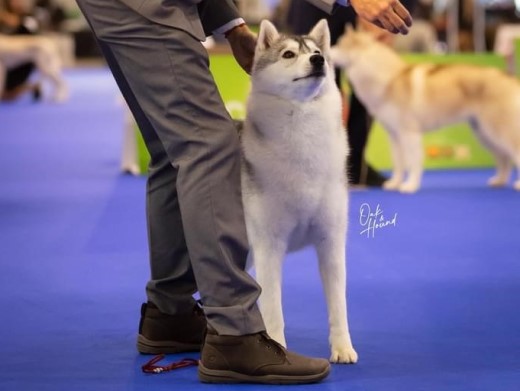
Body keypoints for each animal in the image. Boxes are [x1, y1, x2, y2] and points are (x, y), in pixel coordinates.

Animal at [241, 19, 358, 364]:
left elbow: (338, 306)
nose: (318, 61)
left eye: (317, 51)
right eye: (289, 54)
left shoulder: (331, 242)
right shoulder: (269, 247)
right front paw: (277, 349)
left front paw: (342, 348)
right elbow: (273, 310)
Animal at [332, 26, 520, 194]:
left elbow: (412, 163)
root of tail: (508, 76)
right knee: (504, 160)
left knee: (513, 155)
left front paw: (410, 186)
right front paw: (395, 184)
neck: (390, 79)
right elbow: (398, 163)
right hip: (485, 134)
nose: (327, 51)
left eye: (339, 45)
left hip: (498, 131)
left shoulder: (409, 134)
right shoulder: (394, 135)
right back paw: (499, 181)